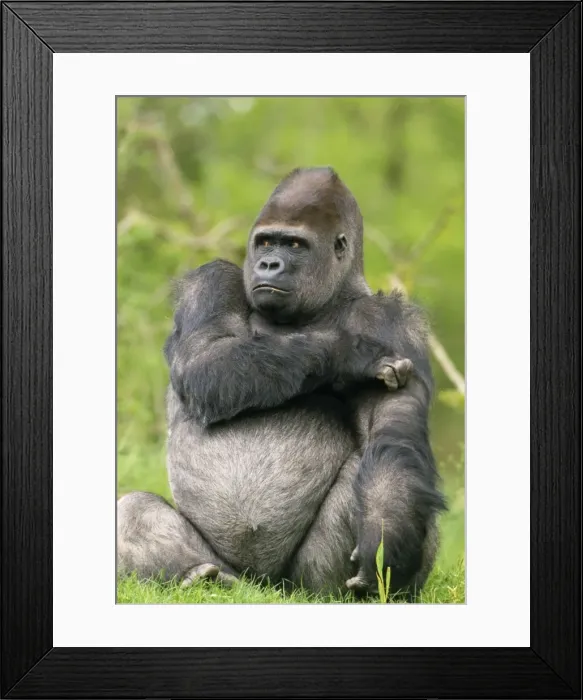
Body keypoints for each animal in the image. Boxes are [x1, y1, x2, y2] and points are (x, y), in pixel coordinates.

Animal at [117, 167, 446, 598]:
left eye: (294, 245)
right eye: (265, 242)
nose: (269, 264)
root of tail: (261, 586)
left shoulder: (395, 321)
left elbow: (391, 438)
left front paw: (386, 532)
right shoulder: (211, 280)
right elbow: (205, 360)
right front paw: (349, 352)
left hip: (300, 585)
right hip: (233, 572)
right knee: (132, 510)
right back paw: (196, 572)